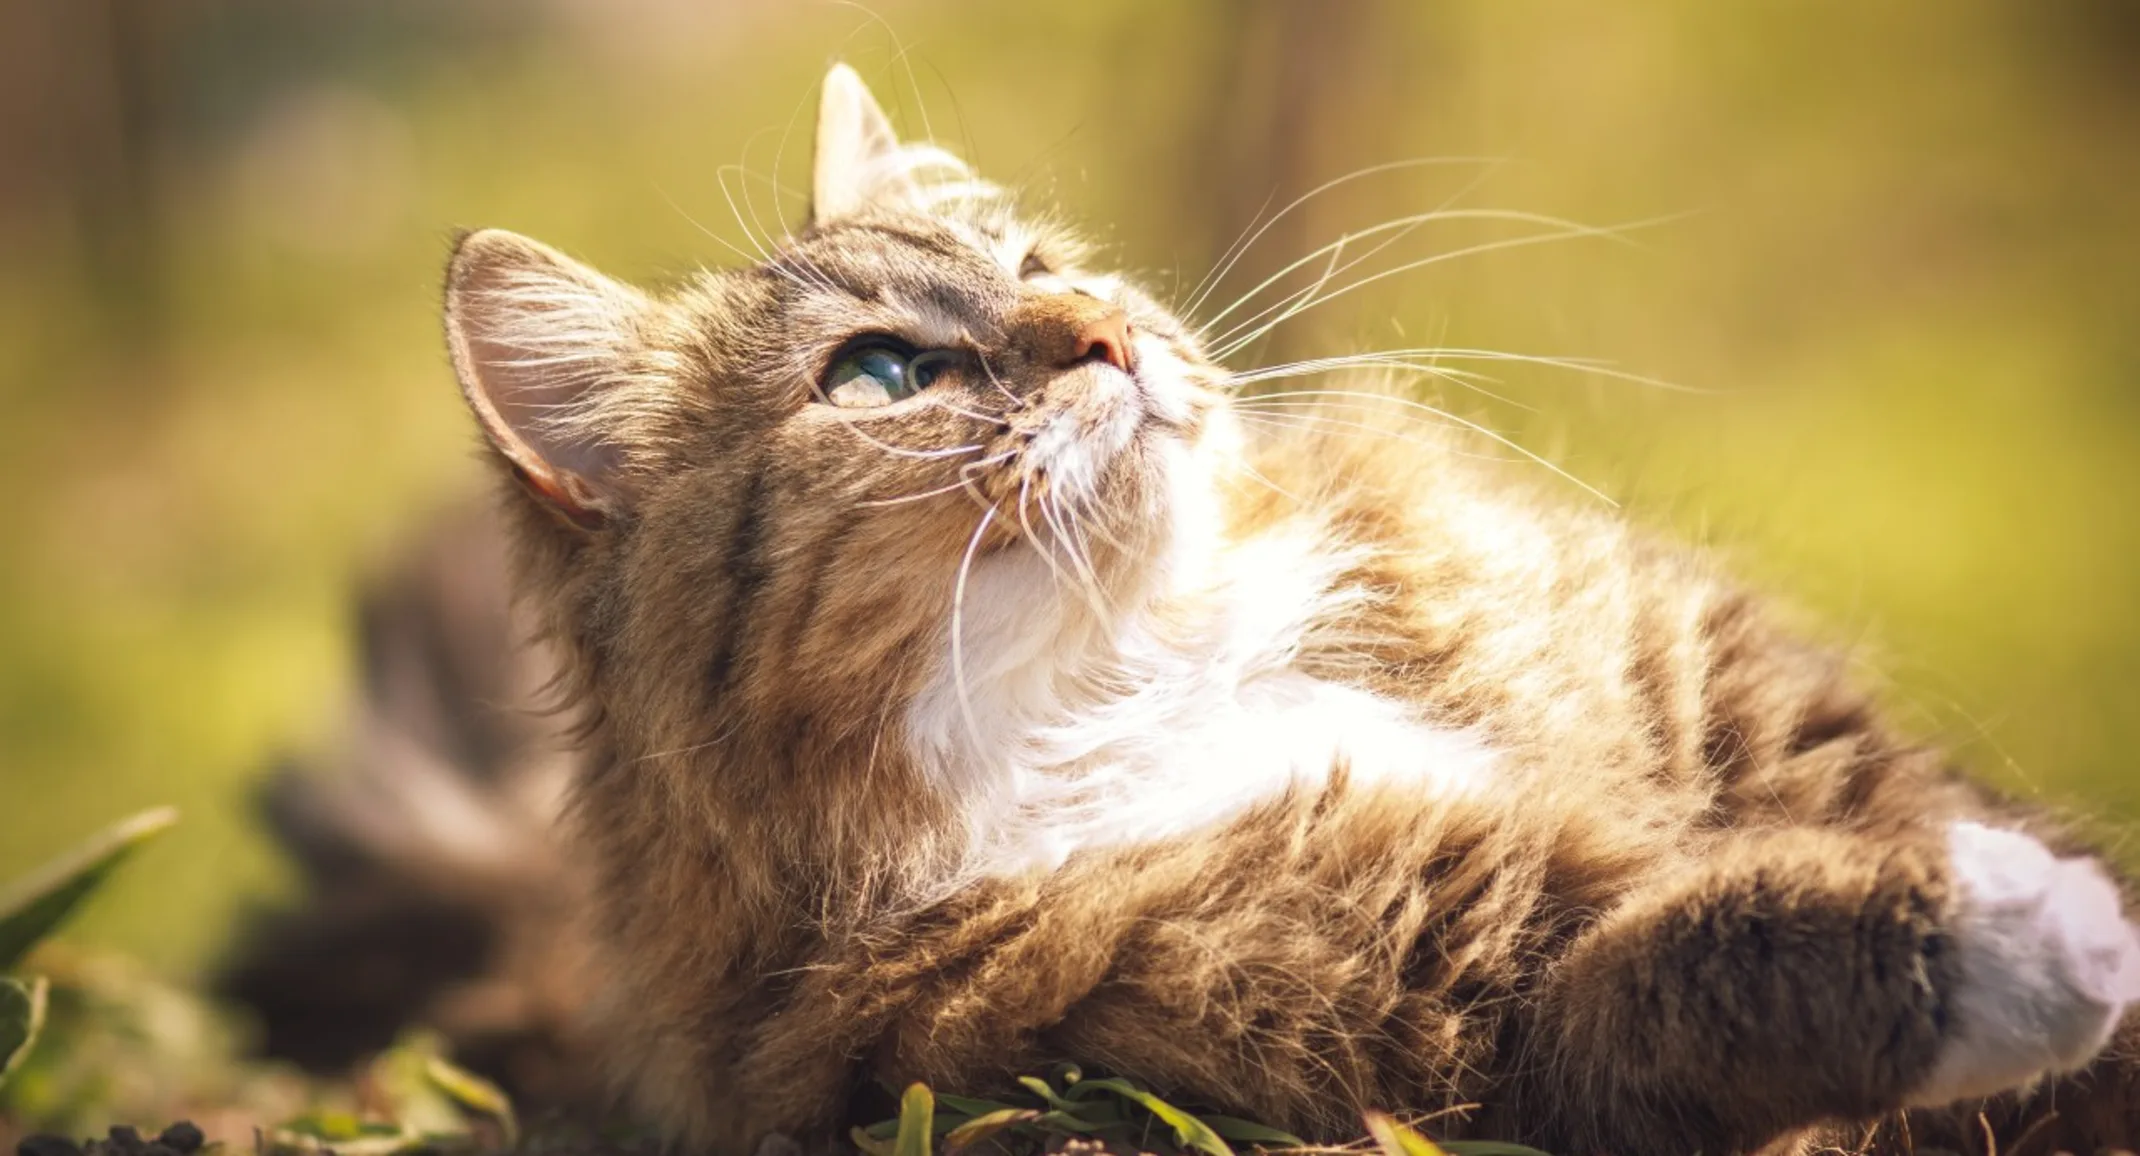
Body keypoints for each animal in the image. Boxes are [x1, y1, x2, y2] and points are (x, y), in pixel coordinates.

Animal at [271, 65, 2140, 1156]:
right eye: (881, 374)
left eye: (1035, 262)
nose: (1105, 331)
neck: (1156, 671)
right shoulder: (1443, 1009)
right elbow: (1721, 949)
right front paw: (2028, 937)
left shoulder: (1772, 729)